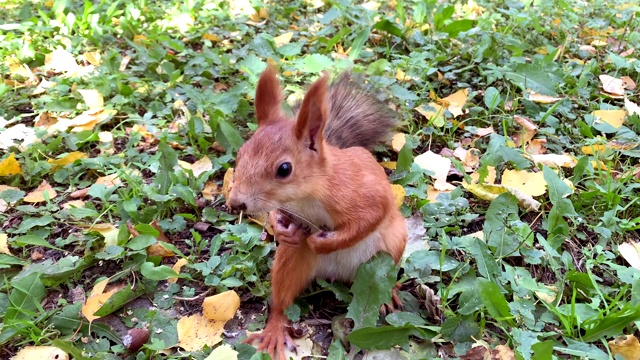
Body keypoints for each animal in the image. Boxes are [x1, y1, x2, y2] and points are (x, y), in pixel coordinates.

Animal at [226, 66, 404, 358]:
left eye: (284, 169)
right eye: (240, 155)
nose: (236, 203)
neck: (306, 197)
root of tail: (339, 275)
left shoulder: (364, 194)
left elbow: (369, 218)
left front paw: (324, 242)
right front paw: (282, 228)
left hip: (392, 246)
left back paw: (389, 294)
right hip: (291, 262)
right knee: (281, 301)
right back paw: (275, 328)